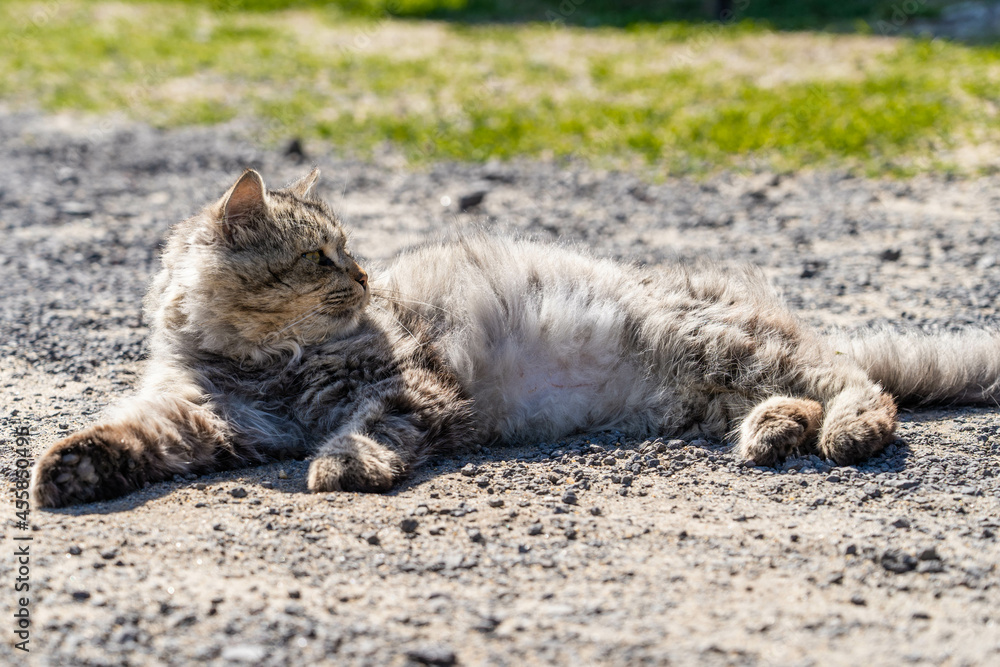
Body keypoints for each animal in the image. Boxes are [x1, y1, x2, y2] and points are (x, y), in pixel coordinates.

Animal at [31, 168, 1000, 506]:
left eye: (352, 251)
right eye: (320, 257)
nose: (365, 279)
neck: (259, 367)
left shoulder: (403, 388)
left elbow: (365, 432)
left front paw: (341, 468)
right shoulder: (206, 418)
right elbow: (130, 436)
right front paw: (70, 472)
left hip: (724, 344)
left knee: (858, 386)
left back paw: (846, 432)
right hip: (709, 388)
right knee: (797, 395)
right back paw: (771, 435)